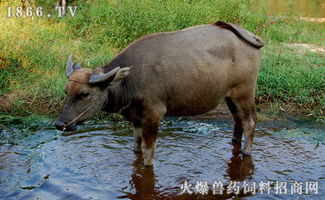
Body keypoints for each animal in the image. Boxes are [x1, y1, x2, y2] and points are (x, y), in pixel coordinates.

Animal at [55, 21, 264, 166]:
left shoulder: (153, 115)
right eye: (66, 91)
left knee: (250, 121)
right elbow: (136, 147)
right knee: (237, 120)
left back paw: (246, 152)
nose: (59, 123)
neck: (130, 80)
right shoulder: (135, 118)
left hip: (244, 93)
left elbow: (148, 153)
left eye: (84, 94)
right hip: (230, 97)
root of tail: (249, 36)